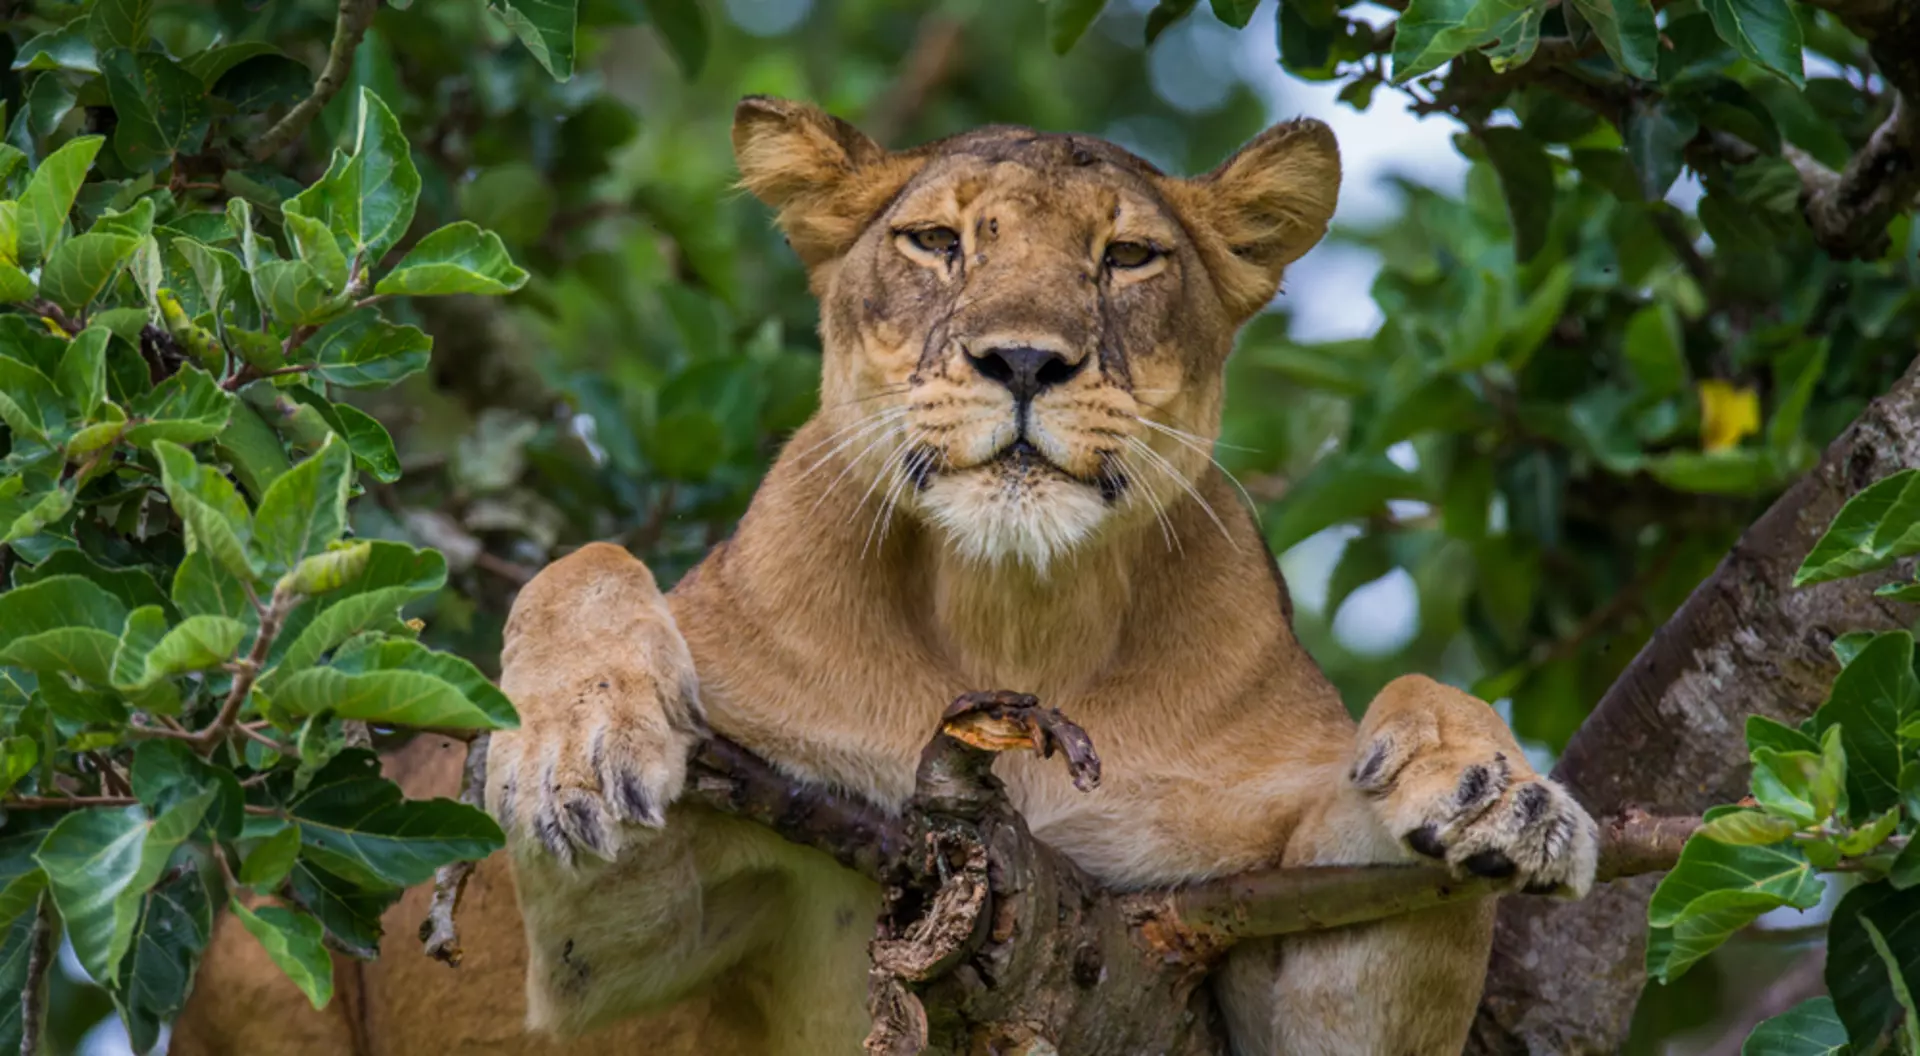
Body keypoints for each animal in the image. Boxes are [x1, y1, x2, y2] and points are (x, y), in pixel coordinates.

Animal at [173, 97, 1598, 1056]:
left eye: (1129, 259)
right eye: (935, 244)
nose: (1022, 360)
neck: (1015, 616)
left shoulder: (1232, 945)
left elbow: (1403, 754)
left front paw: (1499, 791)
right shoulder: (610, 949)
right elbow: (587, 569)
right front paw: (575, 744)